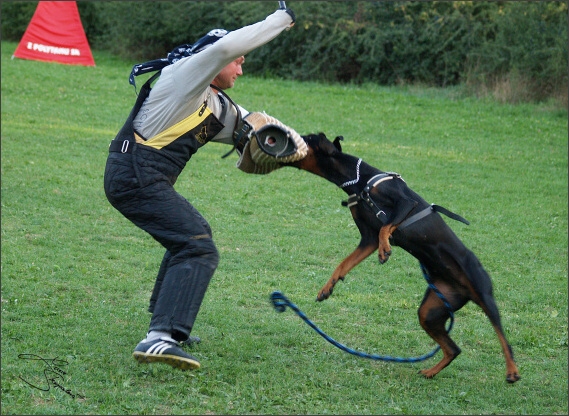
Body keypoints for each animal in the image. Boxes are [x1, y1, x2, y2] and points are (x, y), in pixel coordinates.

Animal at [284, 133, 520, 384]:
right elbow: (345, 262)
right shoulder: (367, 238)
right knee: (454, 349)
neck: (360, 181)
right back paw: (430, 371)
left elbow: (386, 227)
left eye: (306, 138)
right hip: (432, 310)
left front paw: (385, 249)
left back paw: (512, 371)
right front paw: (327, 288)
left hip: (484, 295)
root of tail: (464, 290)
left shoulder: (405, 203)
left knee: (503, 338)